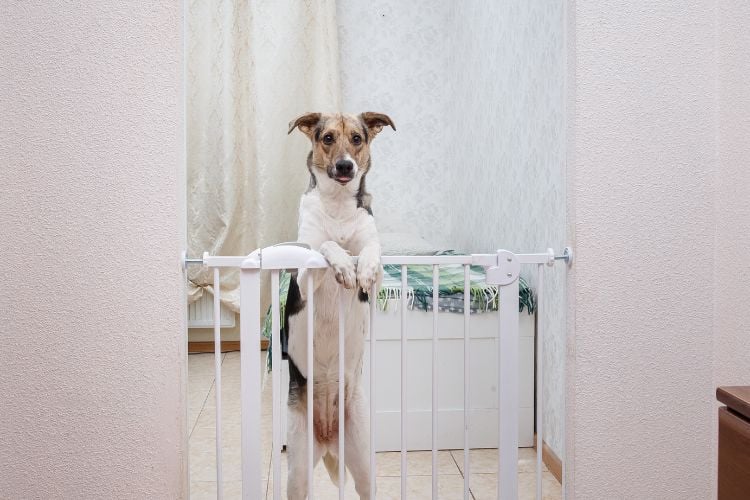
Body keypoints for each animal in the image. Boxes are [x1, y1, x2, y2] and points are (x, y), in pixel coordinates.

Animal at [284, 111, 396, 498]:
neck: (337, 204)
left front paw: (362, 268)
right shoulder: (304, 276)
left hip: (363, 459)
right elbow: (326, 247)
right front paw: (345, 265)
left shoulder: (378, 277)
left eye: (358, 139)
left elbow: (372, 252)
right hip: (298, 469)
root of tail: (329, 437)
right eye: (328, 138)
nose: (346, 166)